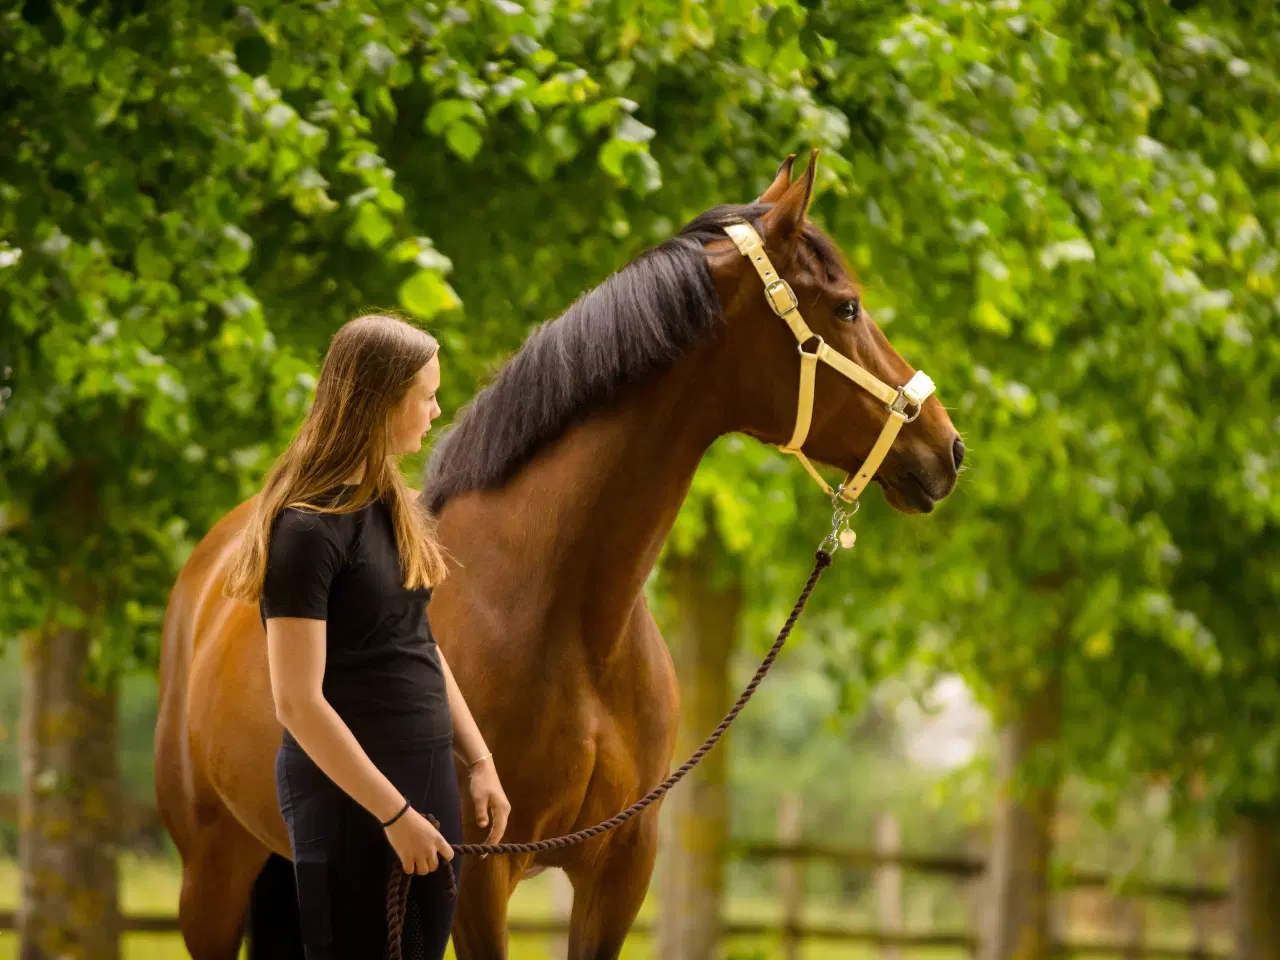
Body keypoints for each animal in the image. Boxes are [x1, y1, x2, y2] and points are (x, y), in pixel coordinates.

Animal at [154, 152, 962, 960]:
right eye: (847, 308)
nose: (947, 449)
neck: (566, 617)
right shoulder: (478, 873)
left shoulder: (622, 865)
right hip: (213, 875)